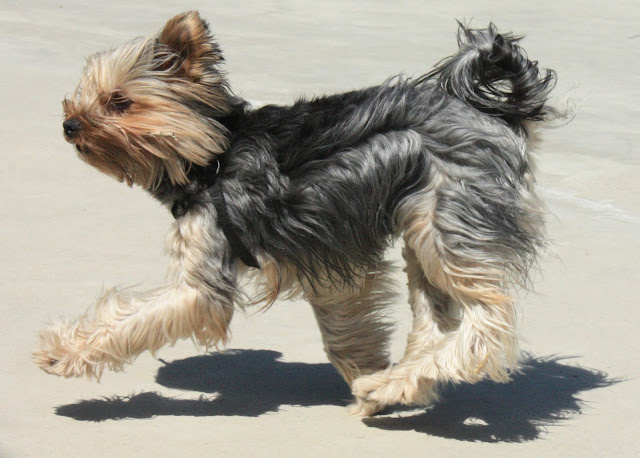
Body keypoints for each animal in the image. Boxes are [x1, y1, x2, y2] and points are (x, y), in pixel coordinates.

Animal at [34, 11, 556, 416]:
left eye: (119, 101)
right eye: (81, 95)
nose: (69, 124)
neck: (211, 159)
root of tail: (496, 115)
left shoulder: (204, 278)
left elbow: (133, 319)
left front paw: (64, 351)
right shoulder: (329, 265)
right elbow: (344, 330)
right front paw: (367, 376)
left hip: (448, 219)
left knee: (487, 323)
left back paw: (390, 385)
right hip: (424, 228)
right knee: (438, 319)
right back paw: (396, 385)